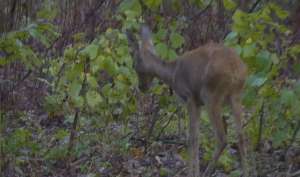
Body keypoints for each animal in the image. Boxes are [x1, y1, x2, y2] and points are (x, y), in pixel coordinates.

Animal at [126, 25, 248, 177]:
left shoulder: (190, 98)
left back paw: (207, 172)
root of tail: (236, 69)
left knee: (222, 137)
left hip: (211, 95)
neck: (172, 74)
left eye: (134, 65)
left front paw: (192, 173)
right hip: (236, 96)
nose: (142, 87)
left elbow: (192, 138)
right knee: (241, 136)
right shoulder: (198, 103)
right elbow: (197, 137)